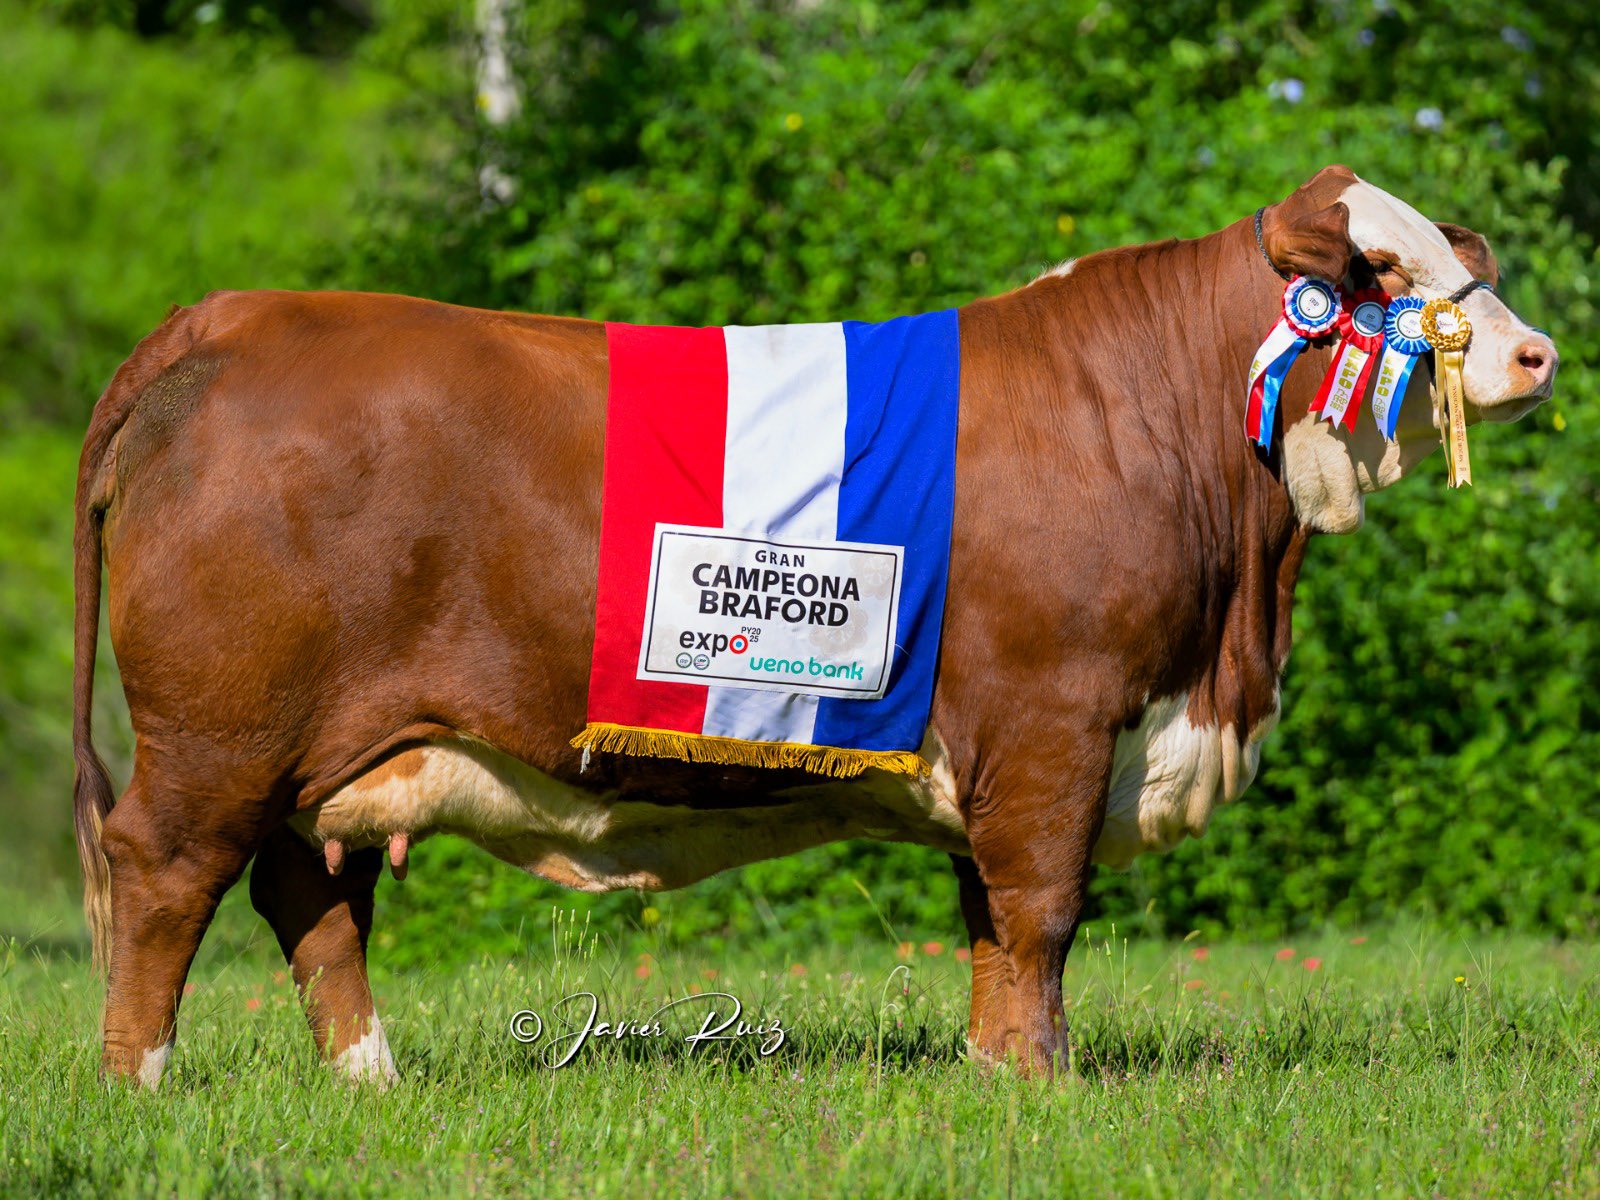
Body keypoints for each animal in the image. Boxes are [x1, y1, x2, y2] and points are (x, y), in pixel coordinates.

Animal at [71, 165, 1557, 1088]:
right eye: (1378, 268)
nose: (1536, 353)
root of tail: (233, 316)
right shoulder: (1058, 718)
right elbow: (1040, 912)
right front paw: (1045, 1082)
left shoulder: (1004, 746)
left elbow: (987, 919)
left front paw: (997, 1077)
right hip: (221, 730)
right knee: (164, 874)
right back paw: (140, 1083)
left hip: (316, 751)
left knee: (309, 893)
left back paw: (371, 1083)